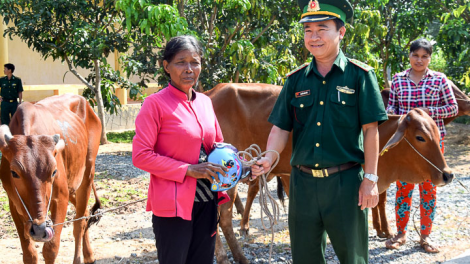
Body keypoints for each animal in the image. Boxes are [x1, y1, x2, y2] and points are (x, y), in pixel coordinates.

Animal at [0, 94, 102, 264]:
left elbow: (51, 250)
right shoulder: (14, 202)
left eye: (54, 171)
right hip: (72, 185)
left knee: (79, 222)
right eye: (14, 173)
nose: (39, 229)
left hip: (87, 175)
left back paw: (80, 257)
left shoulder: (60, 197)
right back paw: (89, 254)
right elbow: (29, 254)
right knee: (86, 213)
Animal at [207, 83, 456, 262]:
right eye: (420, 137)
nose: (447, 174)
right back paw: (233, 257)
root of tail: (209, 94)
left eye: (437, 132)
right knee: (223, 219)